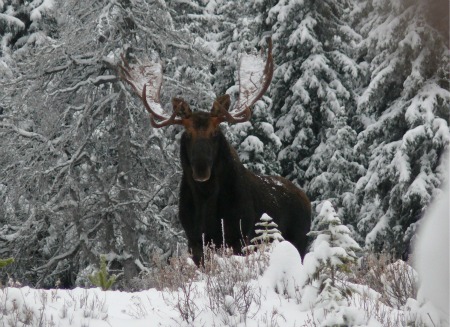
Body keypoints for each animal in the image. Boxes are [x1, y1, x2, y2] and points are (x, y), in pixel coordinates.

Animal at [118, 38, 312, 266]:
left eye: (215, 133)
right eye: (187, 134)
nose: (201, 169)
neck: (206, 201)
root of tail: (306, 199)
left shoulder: (240, 236)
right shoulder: (194, 241)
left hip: (299, 240)